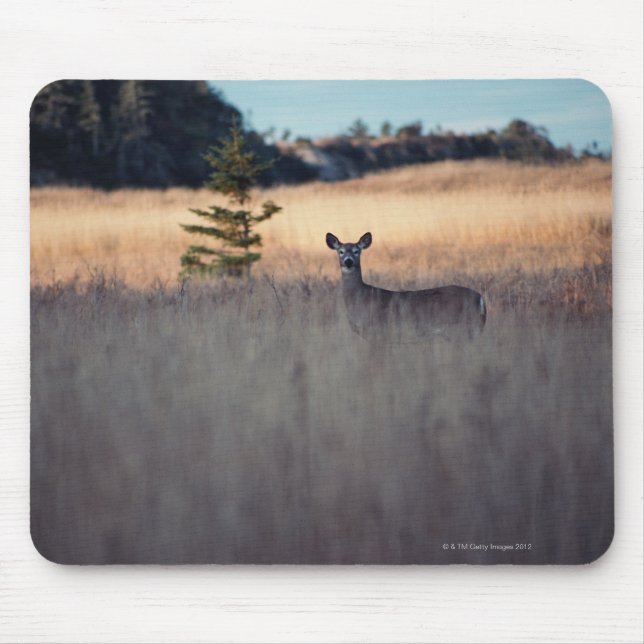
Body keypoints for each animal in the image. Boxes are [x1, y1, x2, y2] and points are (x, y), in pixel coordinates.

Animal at [326, 232, 486, 341]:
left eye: (357, 251)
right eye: (340, 251)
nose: (348, 261)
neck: (361, 297)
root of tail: (480, 299)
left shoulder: (378, 329)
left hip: (463, 326)